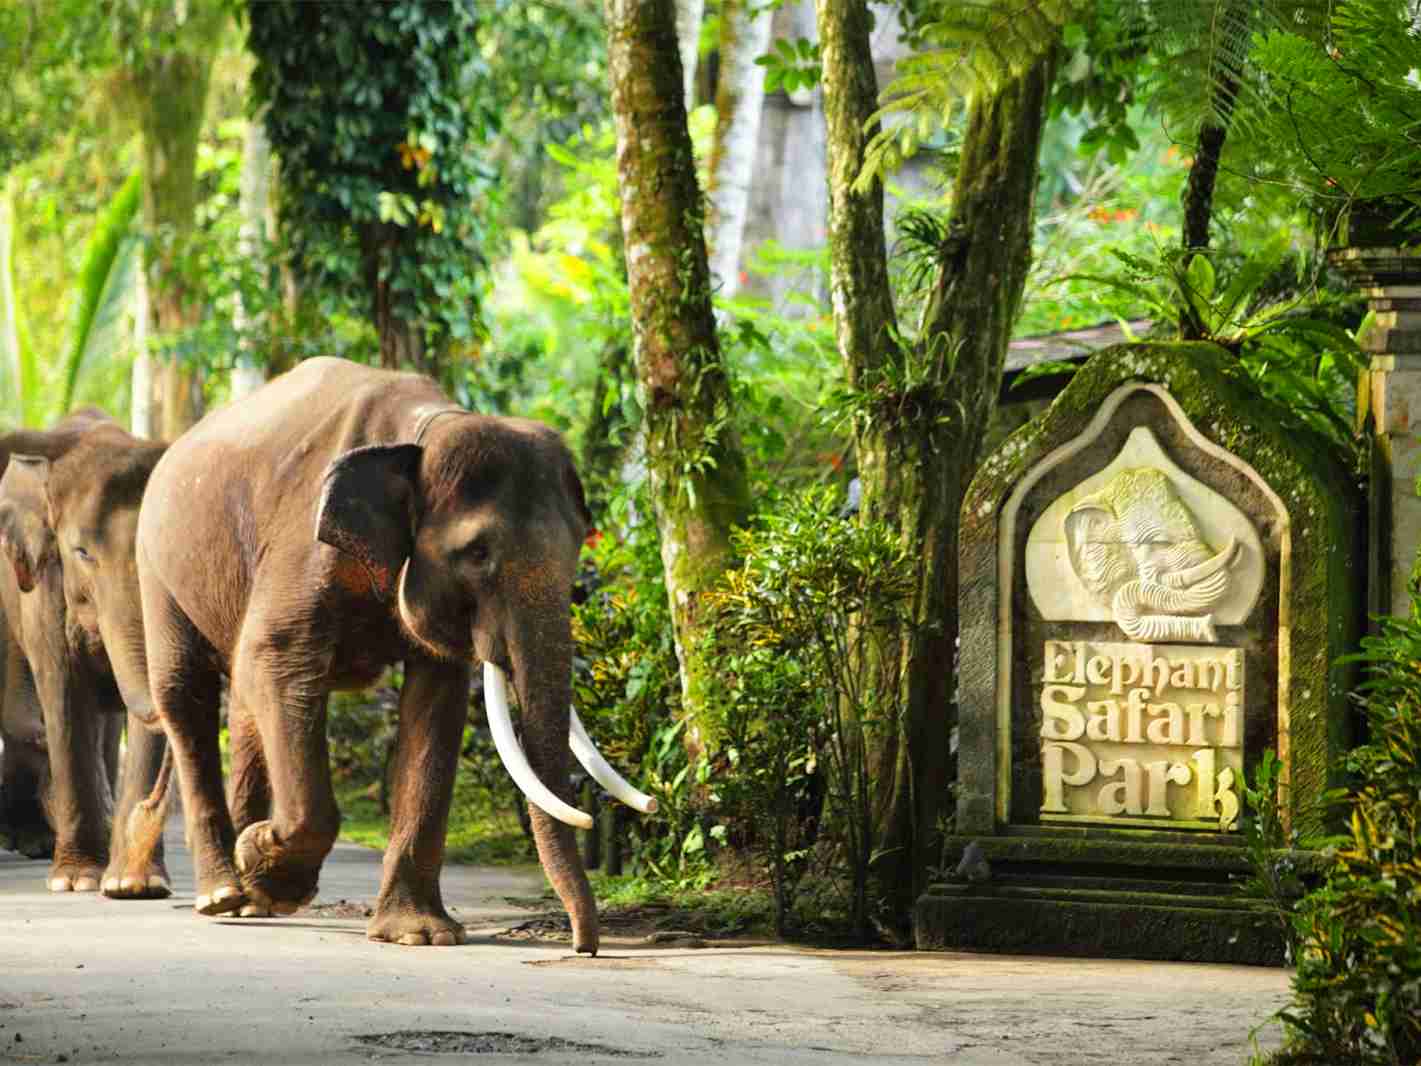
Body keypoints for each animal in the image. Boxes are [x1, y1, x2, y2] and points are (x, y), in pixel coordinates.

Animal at [0, 410, 172, 895]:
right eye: (81, 552)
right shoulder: (45, 586)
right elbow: (64, 696)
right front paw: (75, 880)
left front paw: (135, 884)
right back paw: (36, 842)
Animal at [136, 356, 652, 950]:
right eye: (478, 553)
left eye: (577, 548)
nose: (583, 945)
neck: (423, 431)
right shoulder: (301, 544)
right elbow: (277, 658)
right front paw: (270, 867)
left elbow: (436, 698)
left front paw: (418, 935)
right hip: (155, 566)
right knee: (186, 694)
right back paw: (223, 893)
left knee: (243, 707)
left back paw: (249, 900)